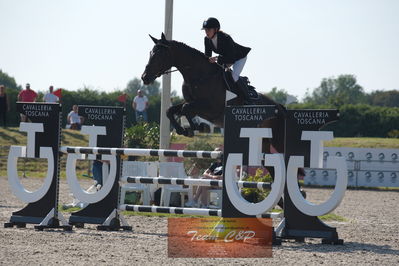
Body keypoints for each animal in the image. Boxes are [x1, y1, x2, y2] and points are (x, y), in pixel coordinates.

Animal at [142, 34, 286, 156]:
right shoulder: (192, 102)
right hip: (263, 140)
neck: (199, 76)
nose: (144, 77)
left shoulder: (212, 108)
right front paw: (184, 130)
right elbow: (171, 110)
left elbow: (185, 109)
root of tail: (279, 106)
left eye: (160, 55)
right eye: (150, 53)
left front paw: (198, 127)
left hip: (277, 139)